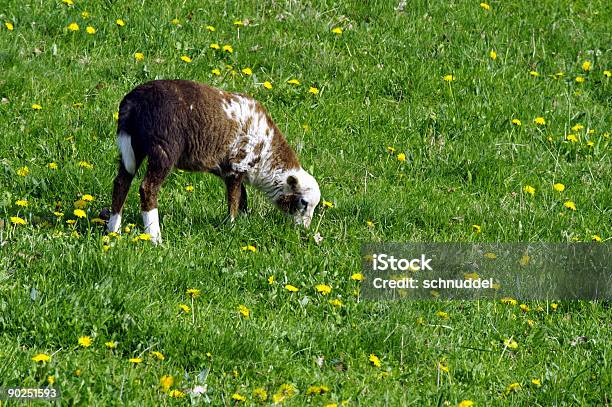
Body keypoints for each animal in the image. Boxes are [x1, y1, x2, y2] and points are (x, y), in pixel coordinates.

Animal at [107, 81, 322, 244]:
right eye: (303, 202)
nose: (304, 230)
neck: (266, 160)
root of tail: (134, 101)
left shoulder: (230, 171)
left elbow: (242, 197)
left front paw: (243, 221)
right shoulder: (237, 166)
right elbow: (234, 199)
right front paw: (232, 225)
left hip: (132, 146)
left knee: (121, 182)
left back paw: (113, 230)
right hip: (164, 148)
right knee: (148, 188)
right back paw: (154, 237)